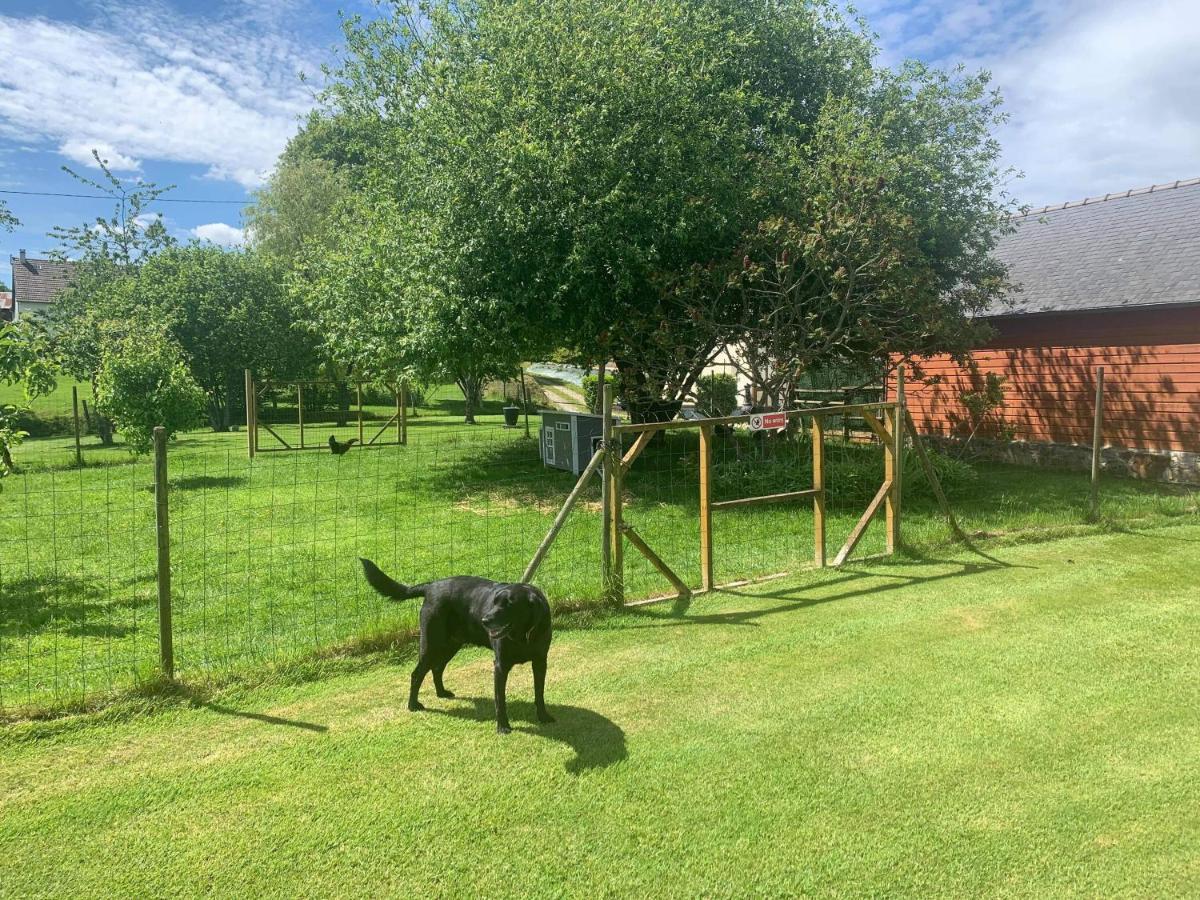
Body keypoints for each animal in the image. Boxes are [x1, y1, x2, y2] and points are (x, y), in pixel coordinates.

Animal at [357, 561, 554, 734]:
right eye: (495, 601)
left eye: (510, 604)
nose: (484, 620)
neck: (523, 636)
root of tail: (430, 586)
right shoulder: (500, 666)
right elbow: (500, 700)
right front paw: (503, 727)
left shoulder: (540, 662)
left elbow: (539, 693)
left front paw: (544, 716)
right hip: (431, 645)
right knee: (417, 674)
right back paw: (413, 705)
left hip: (450, 645)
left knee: (436, 669)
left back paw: (441, 693)